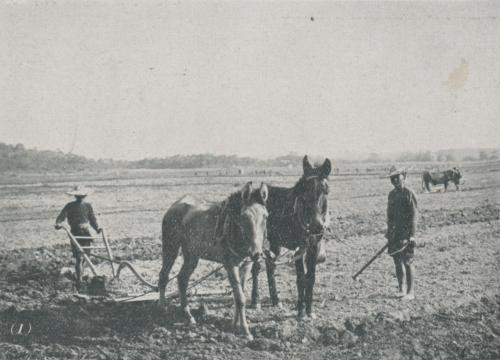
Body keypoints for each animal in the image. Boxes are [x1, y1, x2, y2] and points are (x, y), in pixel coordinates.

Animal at [159, 181, 270, 338]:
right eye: (244, 217)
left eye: (265, 216)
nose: (256, 253)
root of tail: (174, 206)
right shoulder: (230, 265)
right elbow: (240, 298)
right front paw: (245, 330)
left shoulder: (246, 265)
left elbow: (239, 294)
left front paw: (235, 325)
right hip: (171, 247)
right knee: (164, 275)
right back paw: (162, 308)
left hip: (192, 255)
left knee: (182, 279)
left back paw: (187, 315)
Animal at [247, 156, 332, 320]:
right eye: (302, 190)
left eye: (325, 190)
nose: (316, 226)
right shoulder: (299, 248)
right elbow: (300, 278)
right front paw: (300, 311)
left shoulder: (314, 246)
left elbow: (311, 278)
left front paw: (310, 310)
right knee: (257, 267)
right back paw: (256, 301)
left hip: (275, 242)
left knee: (270, 265)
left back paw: (276, 300)